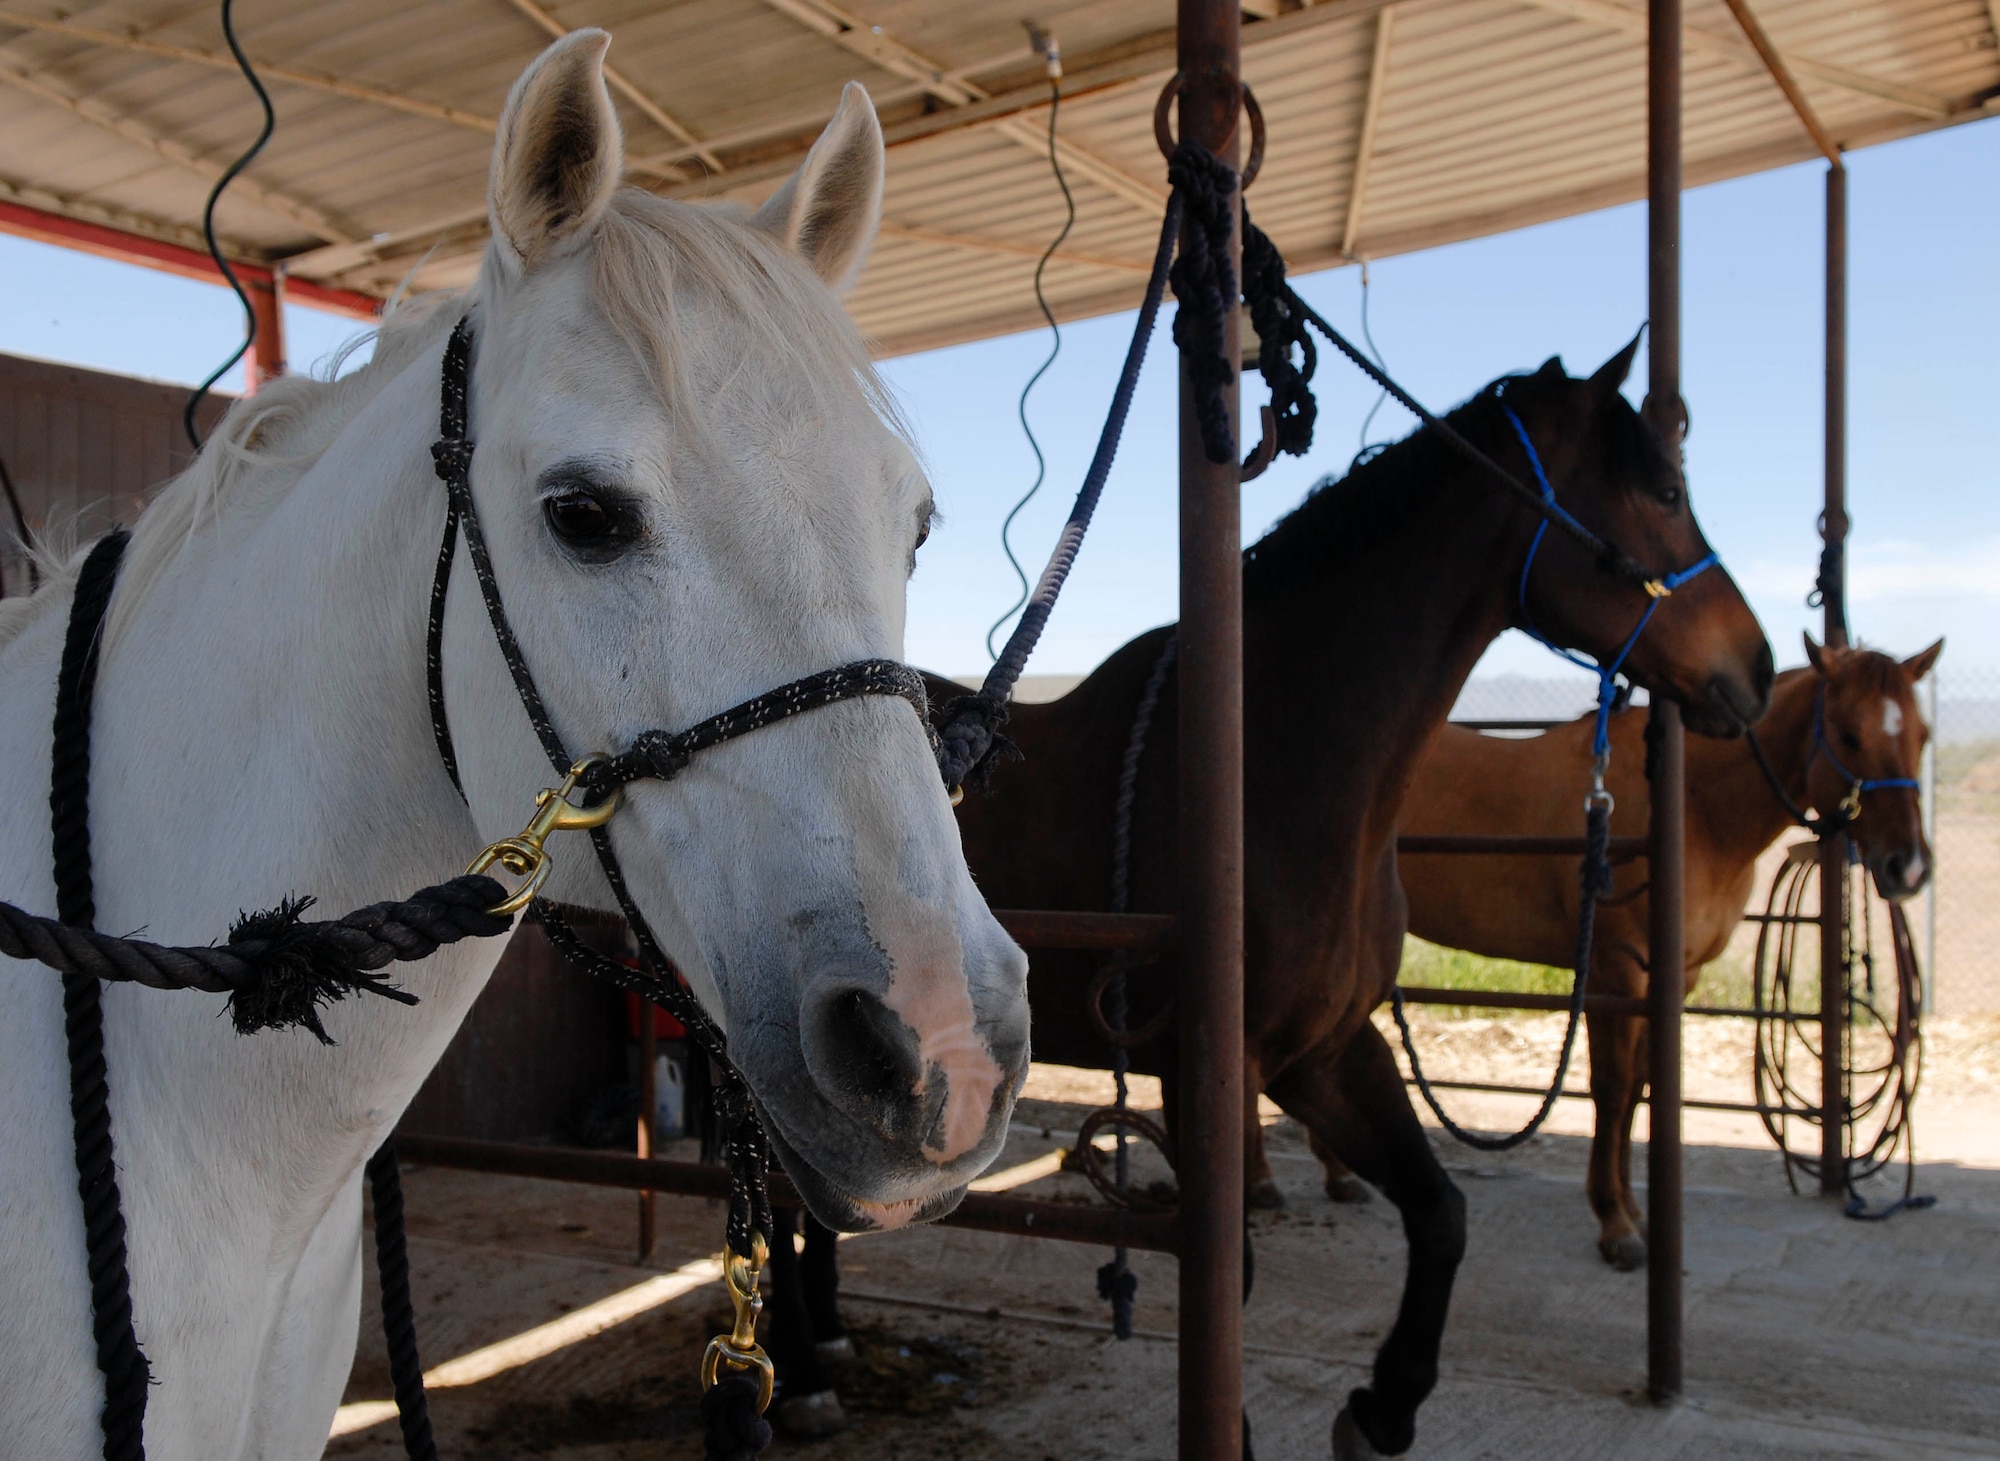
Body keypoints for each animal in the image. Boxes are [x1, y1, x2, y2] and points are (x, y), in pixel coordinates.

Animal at [768, 341, 1774, 1458]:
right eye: (1667, 488)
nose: (1758, 669)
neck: (1279, 761)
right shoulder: (1209, 1073)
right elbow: (1231, 1284)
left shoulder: (1324, 1051)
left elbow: (1440, 1212)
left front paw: (1382, 1408)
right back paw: (797, 1376)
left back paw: (826, 1345)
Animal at [1388, 635, 1939, 1270]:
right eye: (1849, 735)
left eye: (1921, 735)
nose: (1909, 867)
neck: (1689, 806)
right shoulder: (1615, 972)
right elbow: (1611, 1090)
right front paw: (1615, 1225)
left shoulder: (1674, 975)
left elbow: (1640, 1089)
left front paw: (1636, 1212)